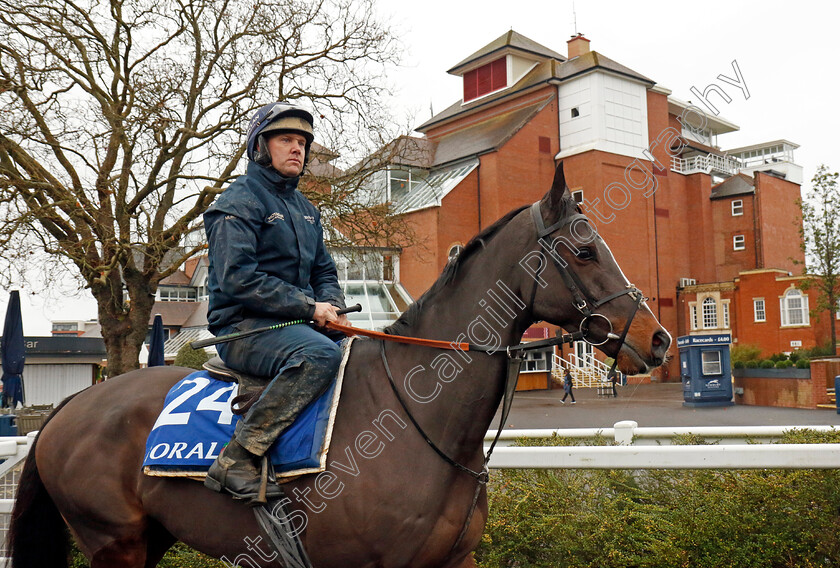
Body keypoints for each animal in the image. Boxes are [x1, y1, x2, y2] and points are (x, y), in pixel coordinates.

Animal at [6, 162, 668, 564]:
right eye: (585, 251)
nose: (657, 338)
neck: (418, 417)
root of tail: (73, 403)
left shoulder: (456, 558)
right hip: (112, 540)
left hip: (151, 536)